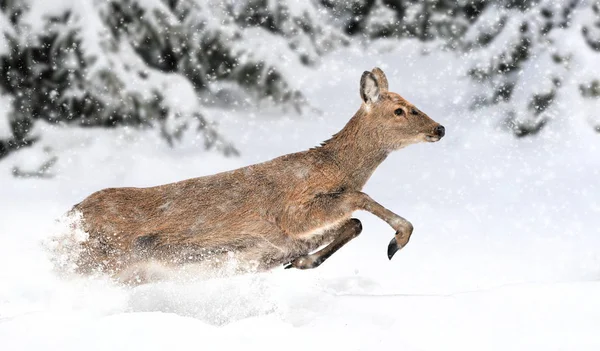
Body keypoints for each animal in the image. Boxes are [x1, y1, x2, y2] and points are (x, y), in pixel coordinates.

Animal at [61, 69, 442, 284]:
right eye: (400, 110)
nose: (439, 128)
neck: (331, 168)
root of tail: (70, 215)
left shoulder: (292, 236)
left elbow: (353, 223)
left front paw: (301, 263)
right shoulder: (291, 211)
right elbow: (359, 201)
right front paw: (399, 239)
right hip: (100, 258)